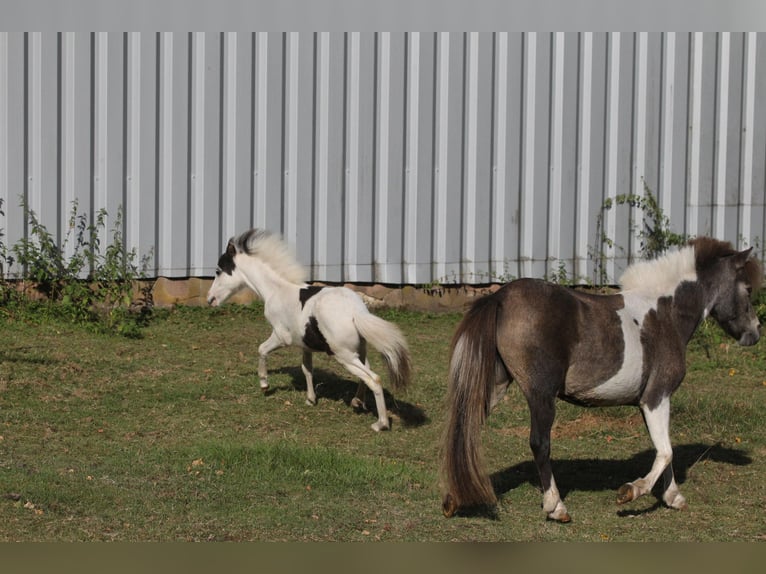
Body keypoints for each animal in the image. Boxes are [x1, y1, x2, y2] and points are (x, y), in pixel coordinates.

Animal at [207, 230, 414, 432]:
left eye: (218, 271)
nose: (210, 300)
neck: (277, 290)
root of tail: (355, 310)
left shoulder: (281, 336)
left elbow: (261, 350)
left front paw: (264, 384)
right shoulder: (305, 346)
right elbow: (307, 369)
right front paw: (310, 399)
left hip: (344, 356)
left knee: (374, 379)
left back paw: (381, 423)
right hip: (359, 351)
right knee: (366, 373)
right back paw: (357, 402)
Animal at [444, 236, 760, 524]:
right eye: (747, 288)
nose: (755, 332)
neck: (664, 312)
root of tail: (499, 297)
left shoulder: (650, 403)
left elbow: (663, 447)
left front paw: (673, 497)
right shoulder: (656, 397)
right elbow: (666, 452)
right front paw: (632, 491)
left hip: (495, 388)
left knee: (465, 428)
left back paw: (452, 499)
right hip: (540, 395)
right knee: (539, 443)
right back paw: (556, 507)